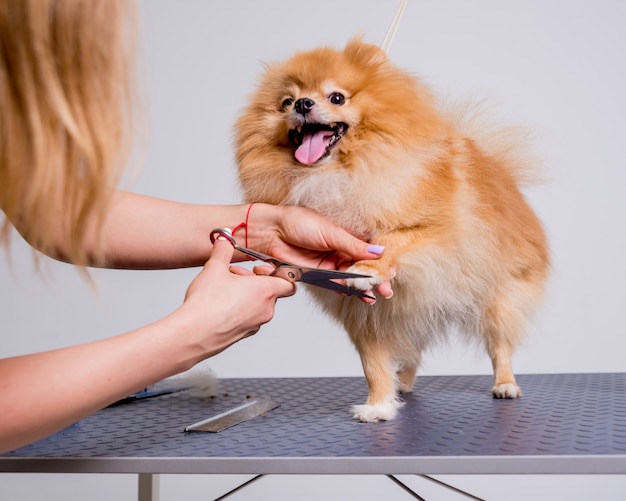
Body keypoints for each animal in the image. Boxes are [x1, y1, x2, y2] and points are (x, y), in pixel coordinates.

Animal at [233, 40, 544, 422]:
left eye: (337, 97)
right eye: (287, 103)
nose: (304, 104)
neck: (334, 173)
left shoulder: (437, 234)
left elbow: (393, 239)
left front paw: (368, 267)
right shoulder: (366, 315)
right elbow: (373, 365)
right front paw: (379, 406)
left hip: (497, 299)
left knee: (500, 346)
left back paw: (505, 384)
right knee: (412, 351)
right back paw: (403, 384)